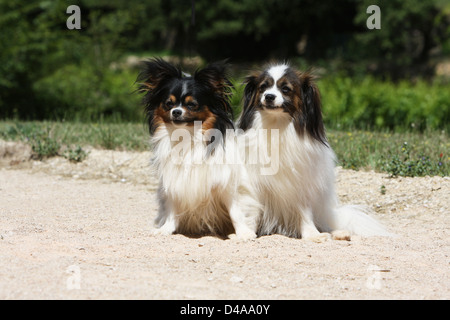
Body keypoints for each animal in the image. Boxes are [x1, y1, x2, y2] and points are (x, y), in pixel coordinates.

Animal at [135, 57, 258, 239]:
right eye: (169, 103)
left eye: (192, 104)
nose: (176, 111)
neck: (188, 135)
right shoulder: (174, 182)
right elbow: (172, 209)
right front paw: (166, 229)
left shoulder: (226, 183)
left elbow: (236, 211)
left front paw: (243, 233)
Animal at [239, 63, 390, 240]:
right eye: (263, 87)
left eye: (286, 89)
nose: (269, 96)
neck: (276, 124)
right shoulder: (254, 181)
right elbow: (252, 209)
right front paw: (247, 231)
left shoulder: (302, 182)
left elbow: (304, 211)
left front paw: (312, 234)